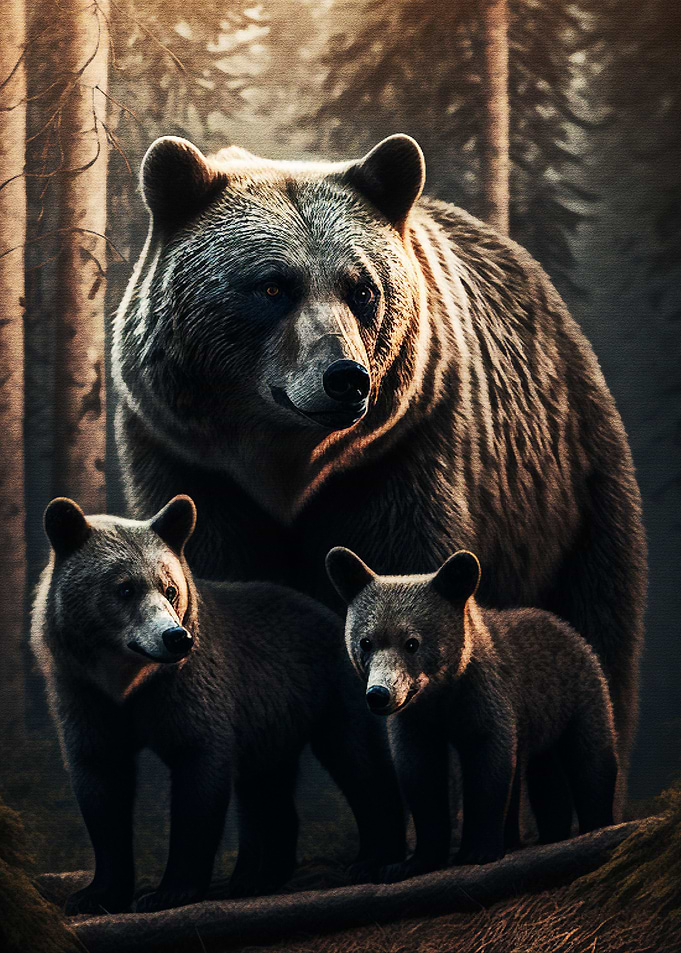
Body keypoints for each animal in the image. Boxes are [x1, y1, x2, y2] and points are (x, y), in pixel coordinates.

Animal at [30, 495, 406, 915]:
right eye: (125, 588)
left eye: (170, 588)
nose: (175, 637)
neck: (127, 684)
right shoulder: (84, 697)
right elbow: (101, 783)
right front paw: (95, 894)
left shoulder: (188, 690)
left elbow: (197, 774)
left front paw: (167, 891)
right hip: (272, 715)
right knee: (266, 787)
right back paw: (258, 876)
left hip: (330, 689)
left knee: (356, 758)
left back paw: (375, 859)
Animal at [111, 133, 646, 809]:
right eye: (272, 287)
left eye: (361, 288)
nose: (345, 377)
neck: (286, 467)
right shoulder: (191, 467)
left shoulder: (400, 461)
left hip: (574, 489)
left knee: (602, 630)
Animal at [326, 545, 618, 883]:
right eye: (366, 642)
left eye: (412, 643)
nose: (379, 694)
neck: (442, 694)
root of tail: (567, 627)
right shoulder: (415, 722)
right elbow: (420, 776)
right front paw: (410, 862)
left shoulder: (485, 699)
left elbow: (488, 766)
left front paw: (477, 851)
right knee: (545, 775)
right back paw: (547, 833)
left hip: (579, 694)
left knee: (591, 757)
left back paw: (594, 825)